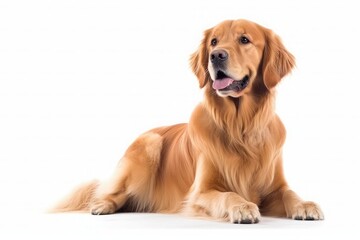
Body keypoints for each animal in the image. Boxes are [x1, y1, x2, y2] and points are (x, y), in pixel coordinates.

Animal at [52, 18, 324, 223]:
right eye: (214, 41)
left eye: (244, 40)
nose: (216, 55)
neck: (240, 126)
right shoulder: (201, 192)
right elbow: (228, 195)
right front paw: (242, 206)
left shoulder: (275, 187)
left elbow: (290, 193)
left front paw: (305, 204)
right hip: (149, 144)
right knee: (110, 191)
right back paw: (102, 204)